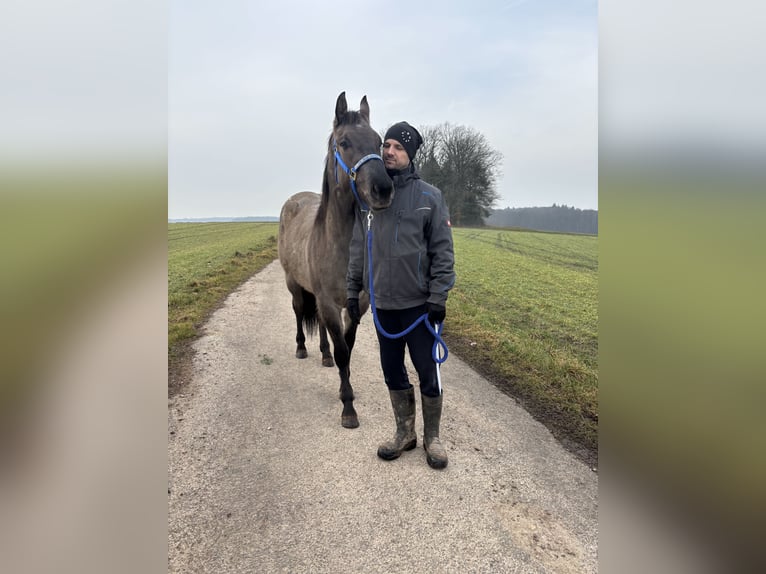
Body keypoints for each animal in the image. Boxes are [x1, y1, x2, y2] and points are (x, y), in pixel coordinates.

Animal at [278, 92, 394, 428]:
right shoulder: (329, 302)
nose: (383, 189)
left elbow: (348, 345)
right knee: (299, 311)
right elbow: (343, 350)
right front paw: (348, 407)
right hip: (294, 285)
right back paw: (302, 348)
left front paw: (345, 384)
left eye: (379, 141)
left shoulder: (358, 303)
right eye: (344, 142)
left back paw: (324, 355)